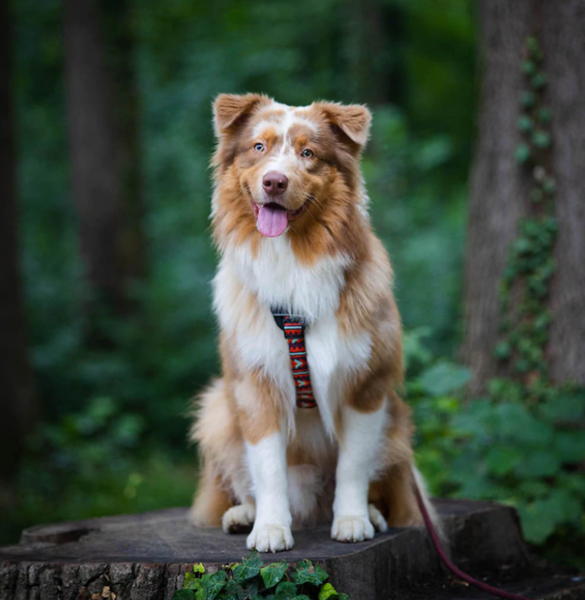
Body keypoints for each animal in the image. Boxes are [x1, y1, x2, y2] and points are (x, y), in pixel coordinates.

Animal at [188, 95, 434, 552]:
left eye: (308, 153)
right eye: (259, 147)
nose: (274, 182)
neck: (292, 258)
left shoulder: (367, 386)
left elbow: (354, 464)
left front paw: (353, 519)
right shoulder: (255, 385)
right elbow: (268, 467)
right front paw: (270, 527)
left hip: (397, 427)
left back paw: (373, 513)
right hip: (218, 409)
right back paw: (244, 515)